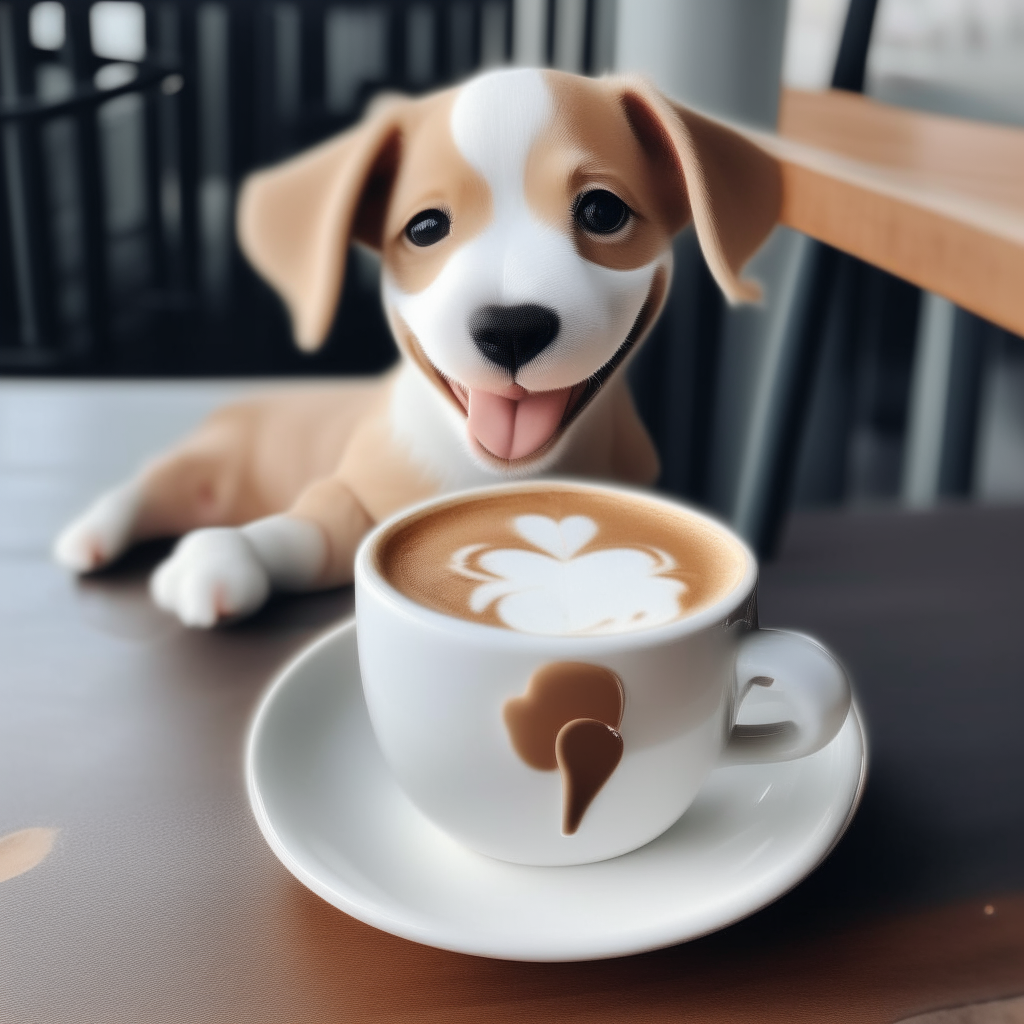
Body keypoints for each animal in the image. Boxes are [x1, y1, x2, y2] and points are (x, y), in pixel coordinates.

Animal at [54, 68, 774, 626]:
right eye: (425, 228)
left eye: (603, 212)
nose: (511, 328)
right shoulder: (354, 493)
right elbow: (308, 528)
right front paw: (228, 555)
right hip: (212, 464)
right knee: (154, 482)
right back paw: (92, 532)